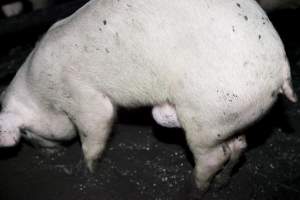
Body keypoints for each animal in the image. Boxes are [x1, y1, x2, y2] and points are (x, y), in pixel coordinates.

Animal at [0, 0, 296, 195]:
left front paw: (85, 172)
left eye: (25, 133)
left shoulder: (82, 94)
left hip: (208, 112)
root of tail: (282, 67)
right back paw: (222, 184)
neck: (42, 89)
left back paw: (193, 190)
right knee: (237, 145)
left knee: (212, 157)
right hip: (230, 114)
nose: (46, 154)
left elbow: (95, 129)